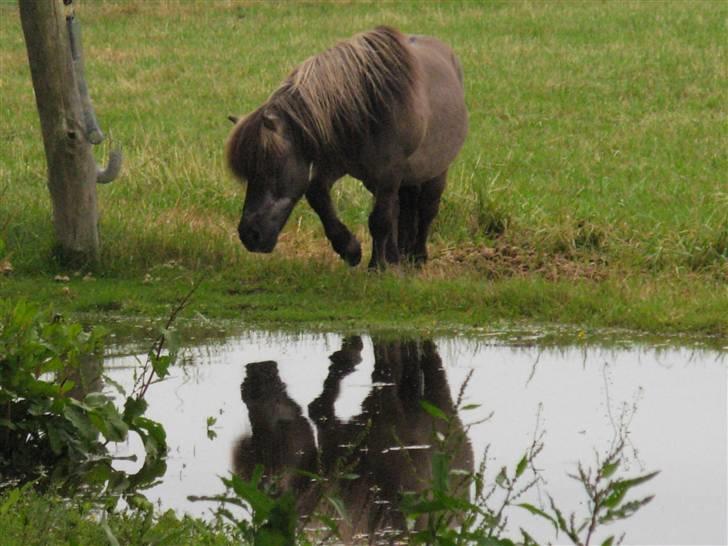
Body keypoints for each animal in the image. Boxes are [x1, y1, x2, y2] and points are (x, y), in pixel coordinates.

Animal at [226, 25, 466, 268]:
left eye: (270, 167)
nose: (249, 235)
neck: (366, 107)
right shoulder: (336, 164)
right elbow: (318, 195)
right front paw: (350, 249)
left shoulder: (389, 173)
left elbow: (380, 220)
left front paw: (376, 266)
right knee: (401, 209)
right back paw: (397, 257)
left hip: (434, 171)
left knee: (426, 209)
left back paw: (416, 257)